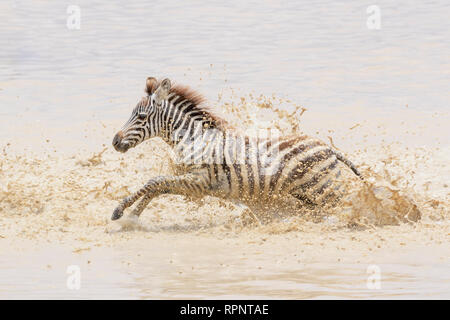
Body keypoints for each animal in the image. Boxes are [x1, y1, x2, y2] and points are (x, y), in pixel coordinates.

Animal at [110, 78, 364, 222]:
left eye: (141, 117)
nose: (114, 141)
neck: (194, 139)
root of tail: (330, 149)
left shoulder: (199, 181)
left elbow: (153, 182)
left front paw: (120, 211)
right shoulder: (192, 185)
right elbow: (157, 187)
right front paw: (132, 217)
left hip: (325, 191)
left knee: (345, 205)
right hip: (309, 195)